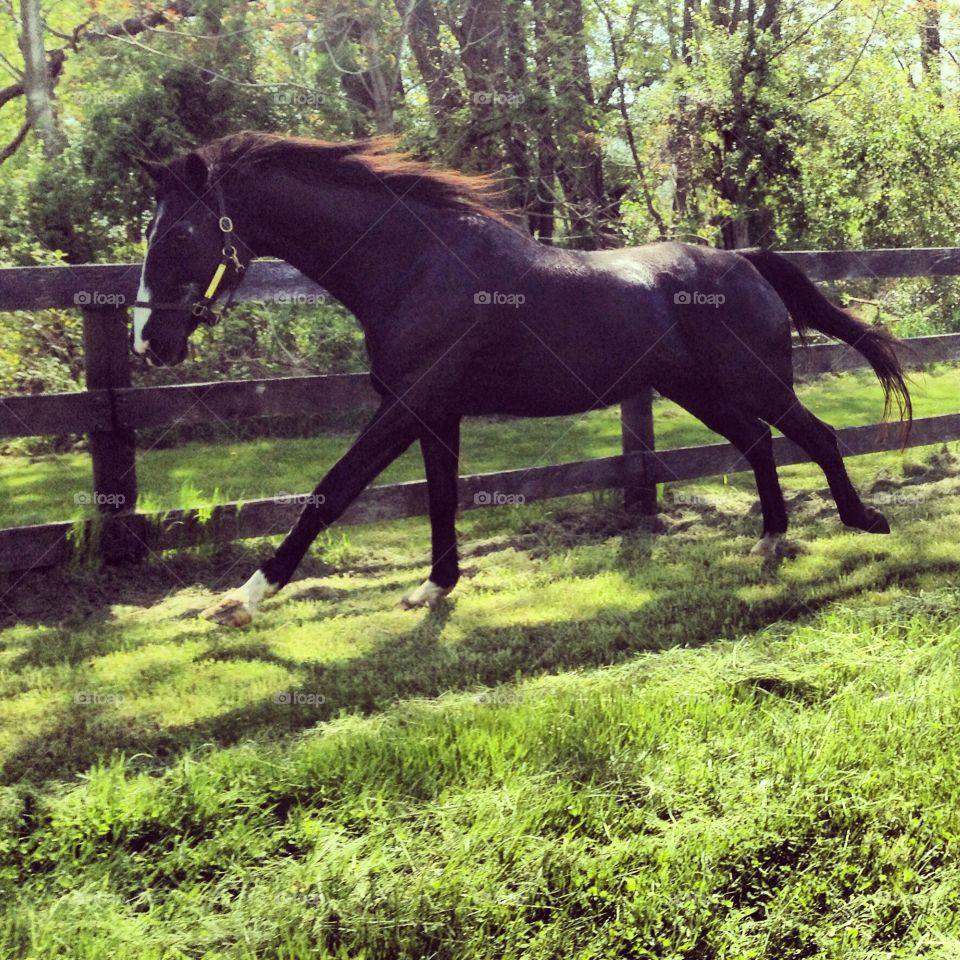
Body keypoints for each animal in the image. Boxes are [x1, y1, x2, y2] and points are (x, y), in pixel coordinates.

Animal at [131, 131, 911, 628]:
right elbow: (440, 498)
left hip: (754, 383)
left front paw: (240, 601)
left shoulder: (406, 407)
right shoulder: (434, 413)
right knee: (759, 446)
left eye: (179, 234)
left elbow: (329, 493)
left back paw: (865, 522)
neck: (414, 266)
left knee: (817, 435)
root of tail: (744, 261)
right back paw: (770, 541)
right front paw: (433, 590)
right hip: (704, 393)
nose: (149, 343)